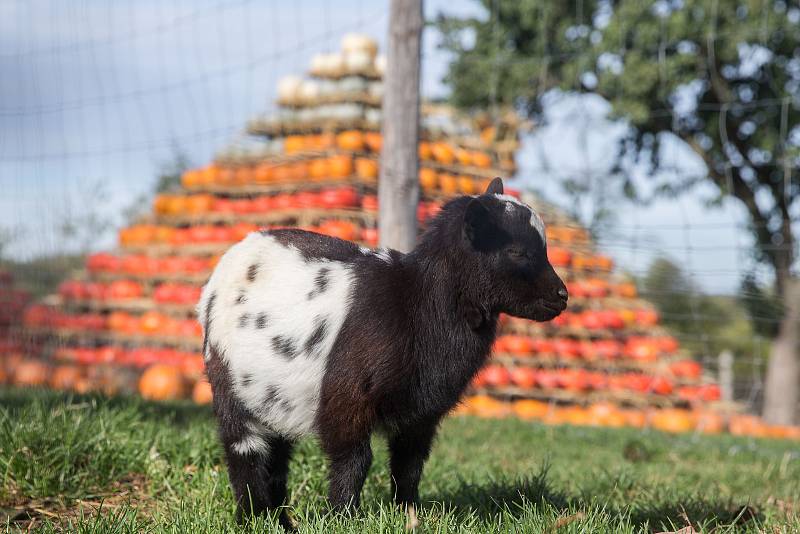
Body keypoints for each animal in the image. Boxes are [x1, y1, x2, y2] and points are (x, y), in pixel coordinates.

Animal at [200, 179, 568, 528]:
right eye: (517, 251)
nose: (562, 296)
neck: (418, 302)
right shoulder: (346, 397)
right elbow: (355, 459)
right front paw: (343, 517)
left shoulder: (422, 411)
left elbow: (410, 463)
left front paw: (409, 515)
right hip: (228, 379)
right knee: (244, 449)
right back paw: (252, 517)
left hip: (273, 396)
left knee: (277, 455)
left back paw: (279, 521)